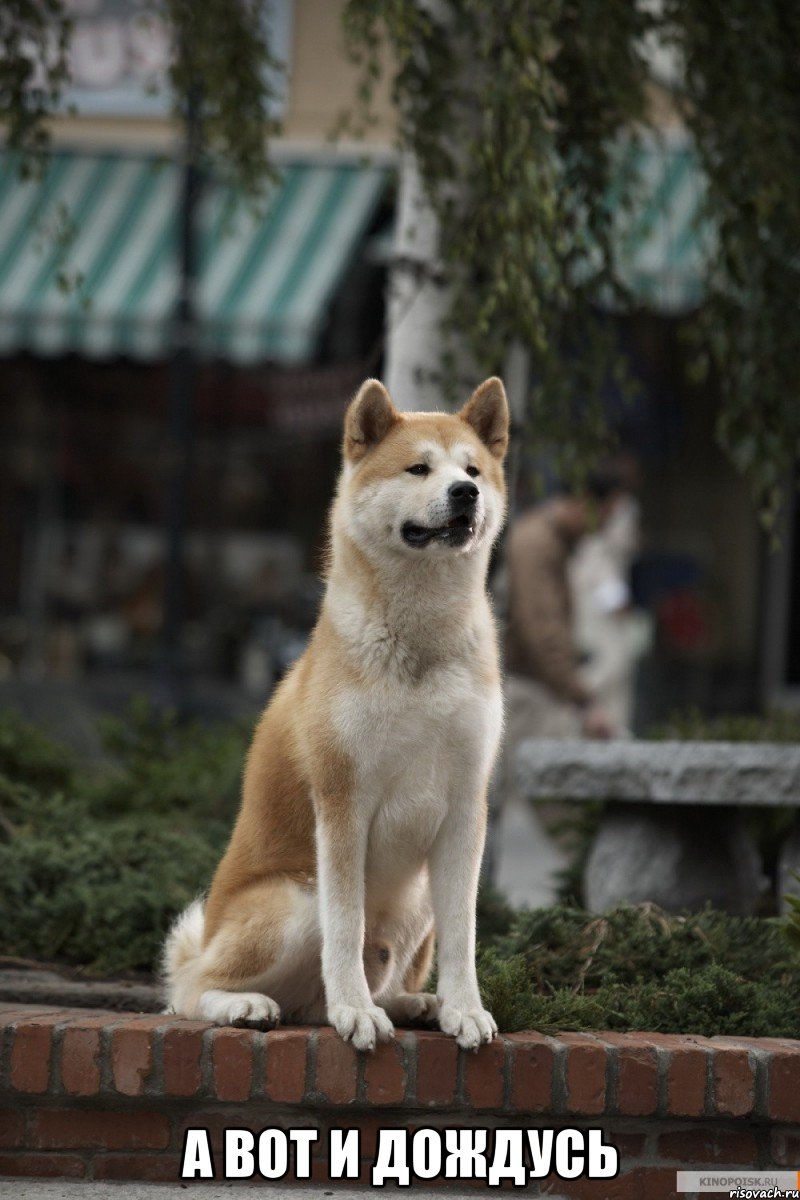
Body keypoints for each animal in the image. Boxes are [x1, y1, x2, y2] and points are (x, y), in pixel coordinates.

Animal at [164, 376, 506, 1051]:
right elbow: (345, 928)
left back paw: (412, 1003)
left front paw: (464, 1009)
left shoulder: (465, 806)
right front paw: (355, 1011)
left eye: (473, 469)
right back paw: (251, 1004)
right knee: (189, 990)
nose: (466, 493)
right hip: (296, 900)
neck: (420, 645)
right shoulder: (344, 801)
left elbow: (465, 934)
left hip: (416, 900)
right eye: (419, 468)